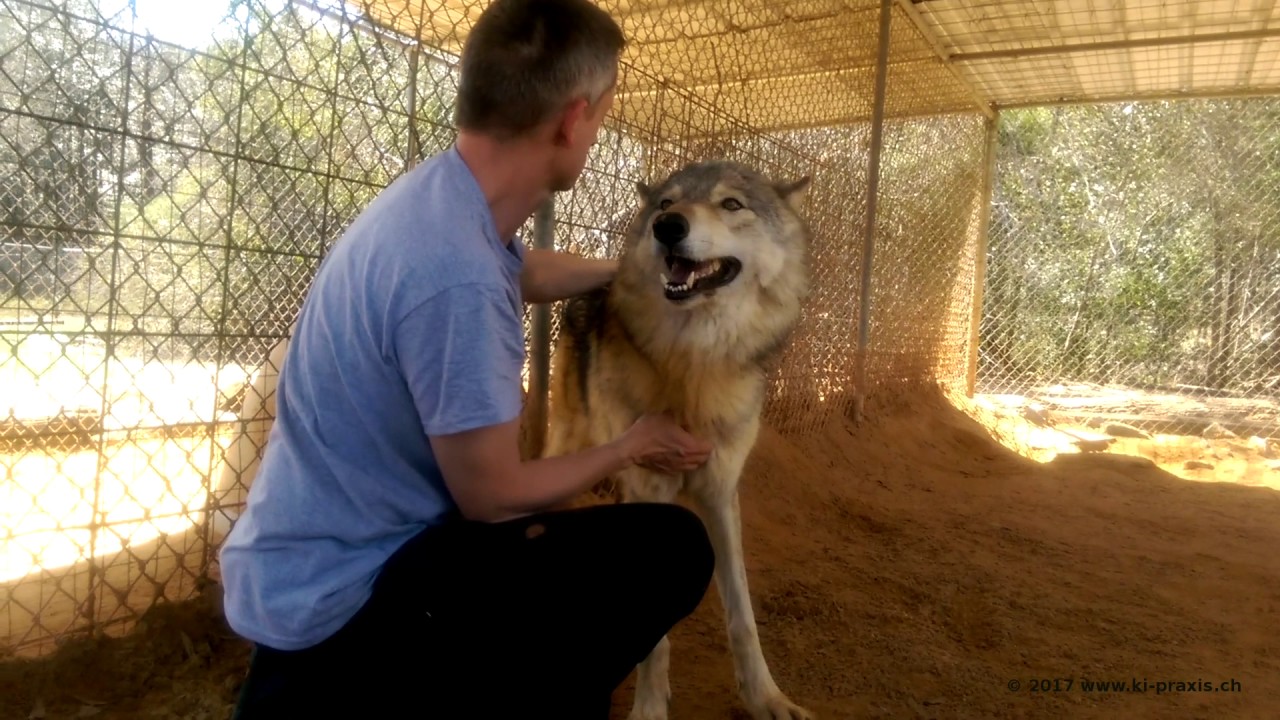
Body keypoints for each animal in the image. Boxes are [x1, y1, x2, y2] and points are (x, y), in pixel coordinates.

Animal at [541, 159, 815, 720]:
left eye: (731, 204)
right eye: (666, 203)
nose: (666, 227)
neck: (695, 362)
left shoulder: (721, 494)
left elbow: (743, 616)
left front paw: (767, 698)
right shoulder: (649, 490)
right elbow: (657, 642)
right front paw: (649, 708)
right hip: (569, 441)